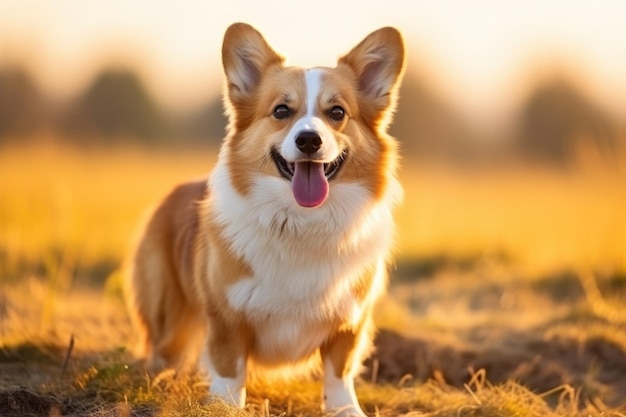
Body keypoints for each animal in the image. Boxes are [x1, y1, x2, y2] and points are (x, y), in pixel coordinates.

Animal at [127, 23, 404, 416]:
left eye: (337, 112)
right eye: (281, 110)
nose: (308, 140)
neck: (302, 223)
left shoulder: (350, 322)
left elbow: (339, 374)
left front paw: (346, 410)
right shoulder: (226, 317)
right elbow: (229, 370)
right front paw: (226, 407)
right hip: (168, 311)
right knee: (164, 349)